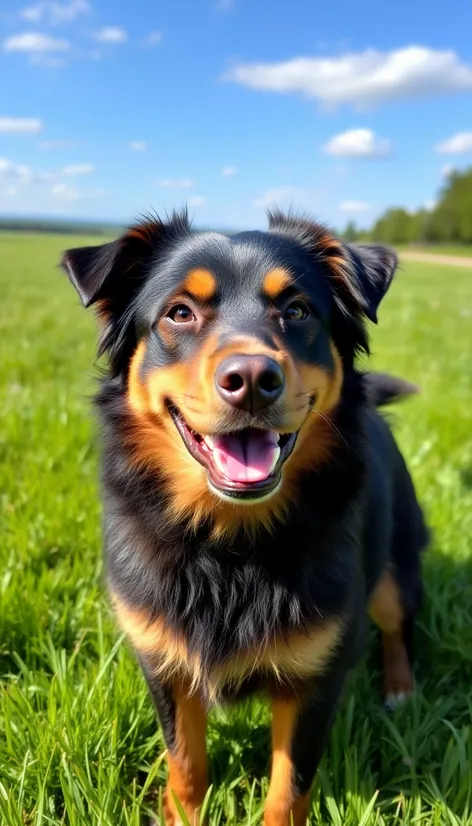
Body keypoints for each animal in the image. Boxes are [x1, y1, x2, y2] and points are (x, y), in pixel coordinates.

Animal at [61, 211, 428, 824]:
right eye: (180, 313)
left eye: (297, 310)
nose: (253, 379)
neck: (228, 543)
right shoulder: (163, 659)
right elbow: (184, 760)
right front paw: (182, 815)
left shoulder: (315, 677)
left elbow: (289, 786)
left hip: (394, 561)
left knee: (397, 621)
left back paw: (399, 689)